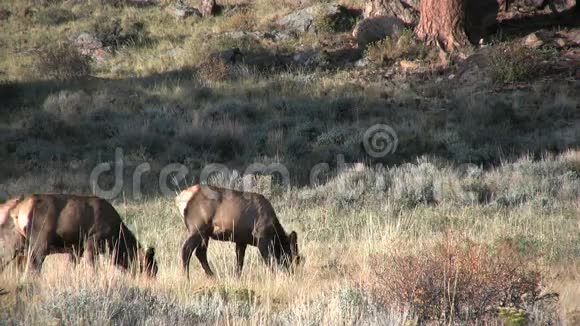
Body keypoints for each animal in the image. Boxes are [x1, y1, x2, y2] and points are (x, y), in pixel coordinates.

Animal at [0, 195, 157, 276]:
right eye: (150, 267)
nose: (151, 280)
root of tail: (17, 212)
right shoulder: (92, 242)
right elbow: (92, 267)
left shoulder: (76, 248)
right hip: (39, 242)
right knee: (34, 266)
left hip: (15, 241)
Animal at [174, 185, 302, 276]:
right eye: (291, 255)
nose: (292, 273)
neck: (274, 231)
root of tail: (180, 198)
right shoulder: (261, 238)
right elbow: (269, 261)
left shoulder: (241, 240)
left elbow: (239, 263)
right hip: (197, 228)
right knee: (186, 249)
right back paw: (186, 277)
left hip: (205, 233)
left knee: (200, 253)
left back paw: (212, 276)